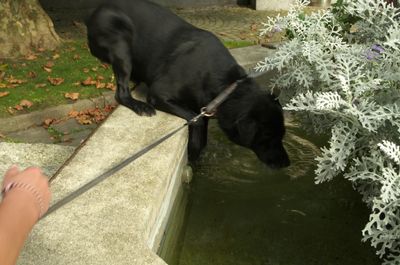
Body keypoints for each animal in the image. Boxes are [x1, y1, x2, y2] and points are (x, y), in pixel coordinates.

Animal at [86, 0, 290, 167]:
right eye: (268, 136)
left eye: (282, 135)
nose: (287, 163)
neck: (226, 87)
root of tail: (98, 9)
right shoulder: (159, 94)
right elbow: (196, 122)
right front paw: (192, 152)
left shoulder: (205, 107)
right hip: (121, 46)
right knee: (121, 92)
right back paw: (139, 105)